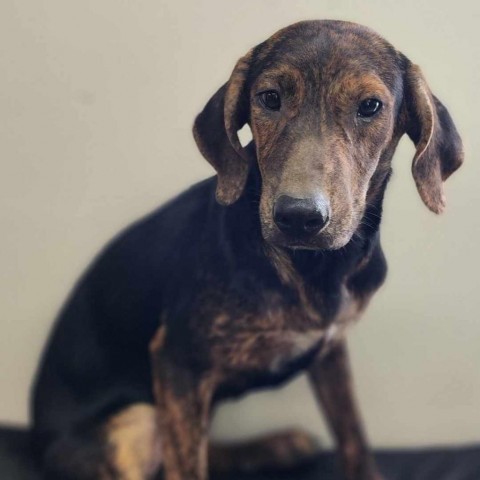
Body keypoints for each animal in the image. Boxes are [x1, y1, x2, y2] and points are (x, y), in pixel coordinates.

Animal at [31, 19, 464, 480]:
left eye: (370, 106)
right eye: (269, 98)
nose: (299, 217)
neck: (312, 268)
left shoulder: (331, 352)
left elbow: (353, 436)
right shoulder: (177, 362)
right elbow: (188, 465)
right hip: (137, 422)